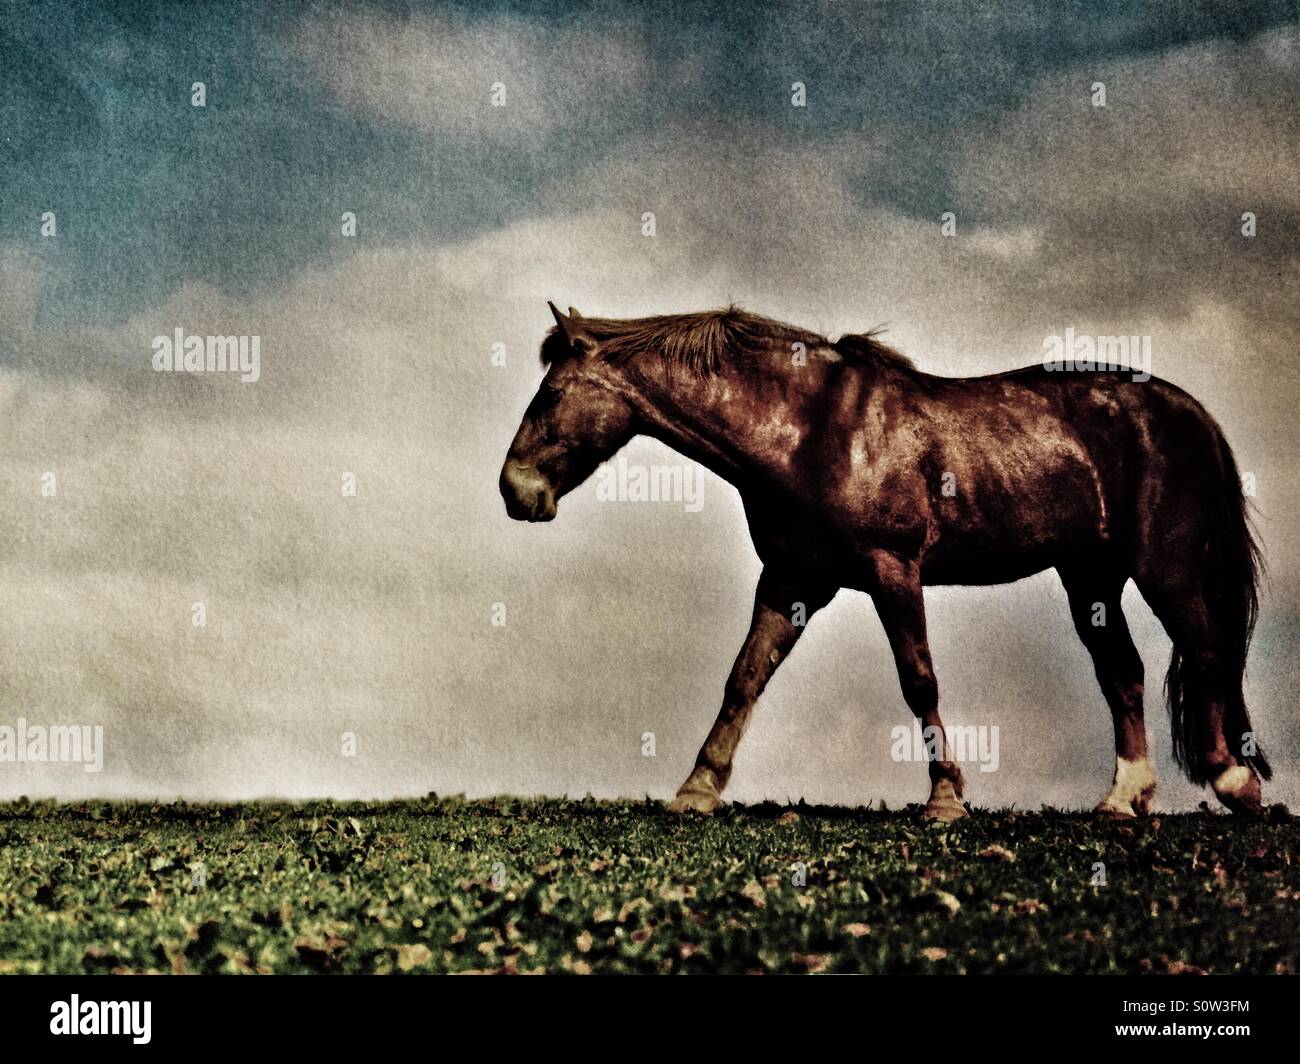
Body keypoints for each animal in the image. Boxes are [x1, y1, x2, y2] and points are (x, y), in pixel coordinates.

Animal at [499, 303, 1268, 816]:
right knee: (1124, 673)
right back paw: (1123, 797)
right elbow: (743, 680)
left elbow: (919, 681)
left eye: (552, 392)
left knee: (1206, 652)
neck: (812, 428)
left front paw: (945, 798)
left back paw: (1235, 782)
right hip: (1091, 577)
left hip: (1164, 567)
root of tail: (1188, 411)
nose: (515, 490)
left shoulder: (892, 570)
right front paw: (697, 789)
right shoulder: (793, 579)